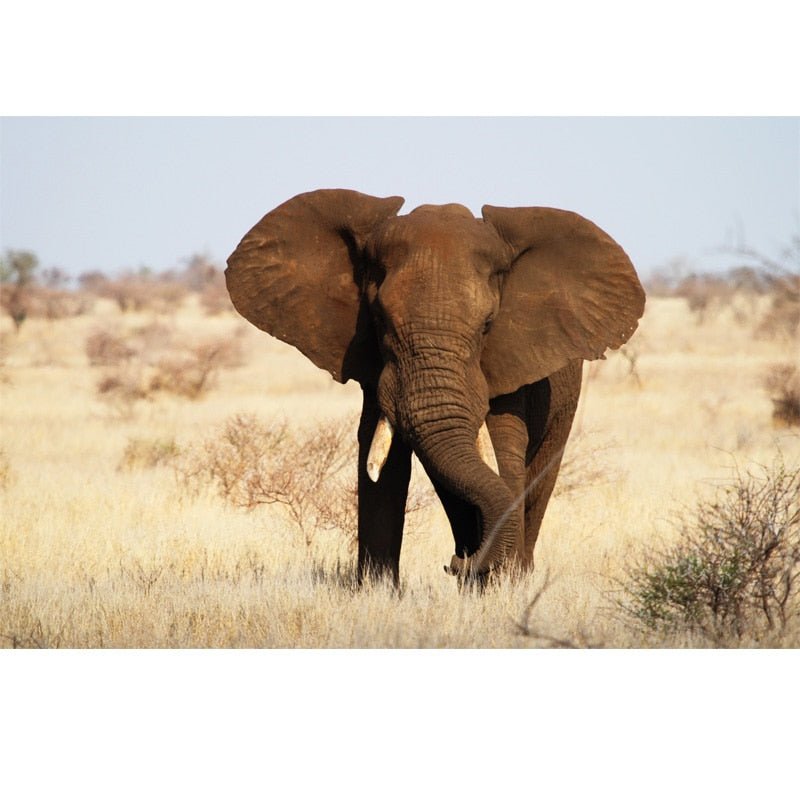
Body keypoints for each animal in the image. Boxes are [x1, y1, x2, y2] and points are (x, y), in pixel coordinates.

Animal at [225, 189, 645, 586]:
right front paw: (378, 592)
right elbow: (381, 459)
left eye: (488, 325)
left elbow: (503, 454)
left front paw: (498, 590)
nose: (455, 563)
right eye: (380, 320)